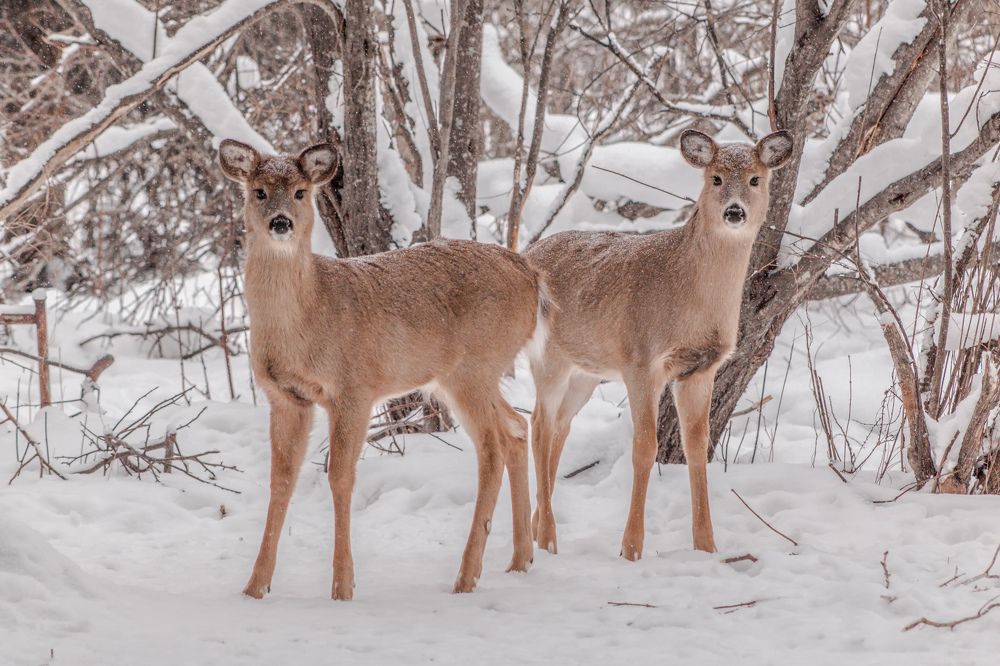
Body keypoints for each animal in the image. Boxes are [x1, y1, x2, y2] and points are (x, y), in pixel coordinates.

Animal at [218, 139, 547, 600]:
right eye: (259, 192)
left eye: (301, 192)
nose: (281, 223)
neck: (306, 319)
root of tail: (531, 274)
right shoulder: (286, 398)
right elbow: (280, 480)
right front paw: (254, 587)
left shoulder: (353, 388)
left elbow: (340, 477)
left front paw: (343, 586)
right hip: (465, 375)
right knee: (517, 426)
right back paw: (519, 559)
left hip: (474, 367)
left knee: (492, 448)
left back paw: (466, 576)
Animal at [524, 129, 793, 560]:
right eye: (715, 178)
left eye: (755, 179)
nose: (735, 212)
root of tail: (526, 252)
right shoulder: (641, 360)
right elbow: (644, 448)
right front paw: (631, 548)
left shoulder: (700, 368)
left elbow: (696, 448)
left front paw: (707, 545)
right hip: (549, 357)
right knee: (537, 425)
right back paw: (548, 537)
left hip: (586, 369)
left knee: (560, 428)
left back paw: (538, 529)